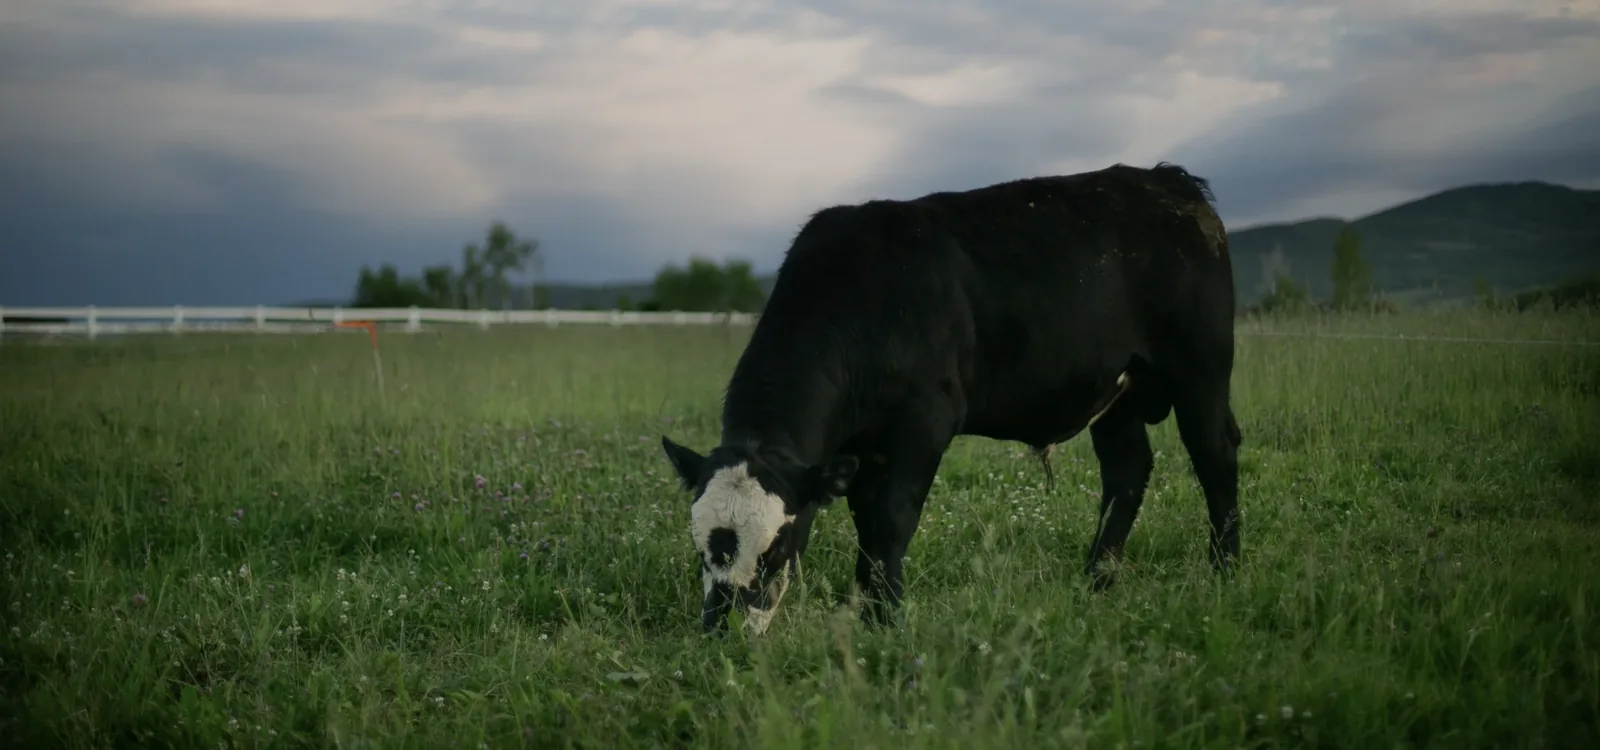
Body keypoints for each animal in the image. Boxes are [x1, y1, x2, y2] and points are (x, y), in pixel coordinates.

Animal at [660, 162, 1243, 635]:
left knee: (1215, 455)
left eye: (776, 546)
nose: (723, 632)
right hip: (1115, 394)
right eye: (700, 547)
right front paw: (870, 610)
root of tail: (1168, 181)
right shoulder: (859, 449)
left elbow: (892, 520)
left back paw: (1225, 572)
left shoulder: (924, 425)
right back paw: (1096, 581)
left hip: (1201, 368)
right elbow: (868, 526)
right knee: (1127, 472)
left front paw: (888, 618)